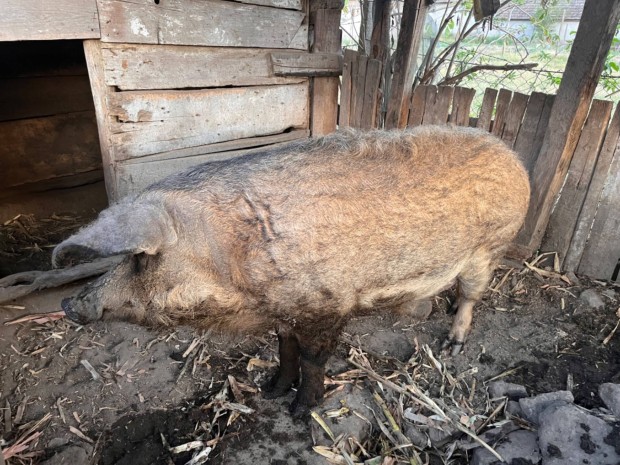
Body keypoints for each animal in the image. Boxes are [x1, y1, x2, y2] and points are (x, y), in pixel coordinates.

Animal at [53, 125, 532, 416]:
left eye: (139, 258)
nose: (69, 303)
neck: (232, 257)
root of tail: (513, 156)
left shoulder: (329, 304)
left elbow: (313, 357)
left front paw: (302, 411)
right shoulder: (285, 308)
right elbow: (284, 349)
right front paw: (270, 391)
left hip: (490, 246)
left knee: (471, 295)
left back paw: (453, 344)